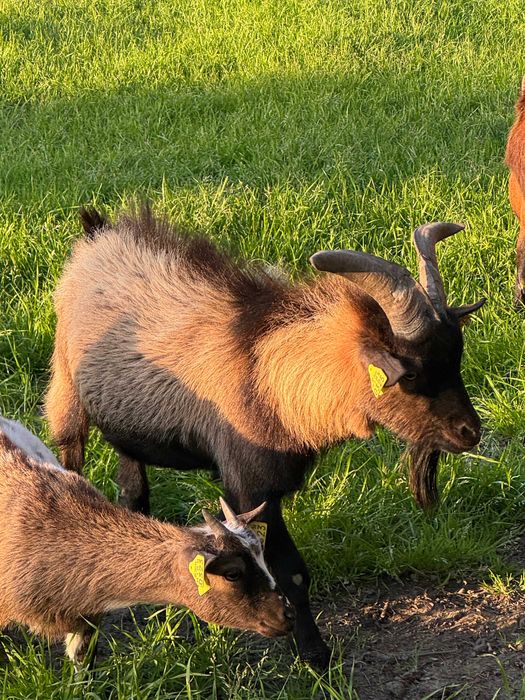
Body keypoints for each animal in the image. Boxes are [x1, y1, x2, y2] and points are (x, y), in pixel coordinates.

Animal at [45, 205, 485, 666]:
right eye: (412, 373)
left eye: (456, 355)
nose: (470, 432)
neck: (263, 372)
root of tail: (96, 232)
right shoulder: (249, 488)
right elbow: (291, 572)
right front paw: (316, 656)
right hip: (66, 394)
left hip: (127, 426)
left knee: (133, 489)